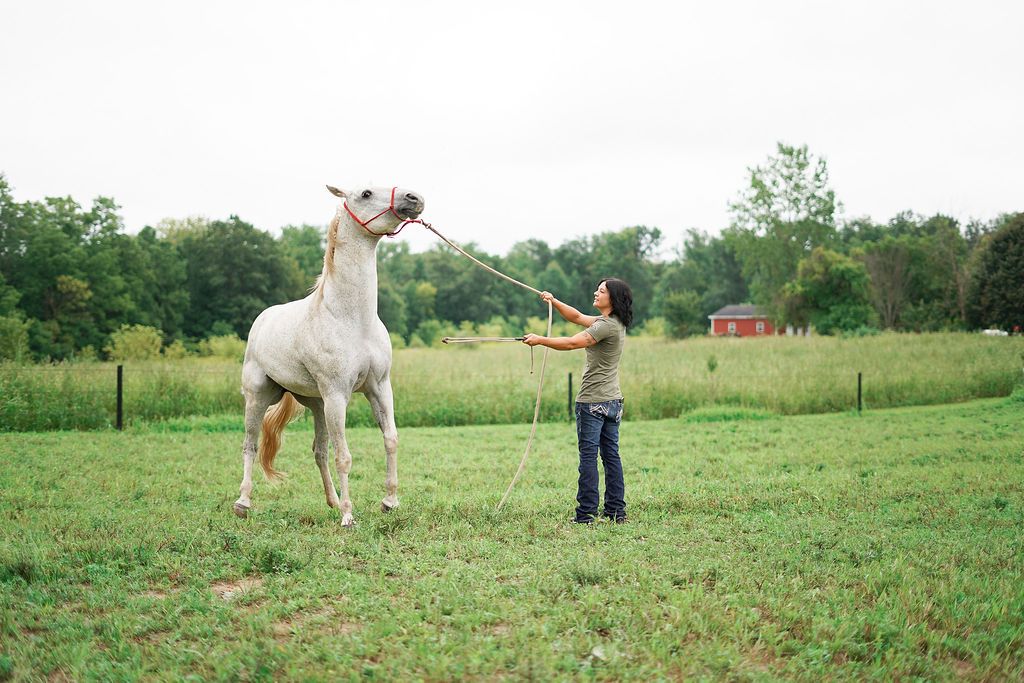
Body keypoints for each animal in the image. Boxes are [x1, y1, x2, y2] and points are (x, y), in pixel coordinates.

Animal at [232, 184, 423, 528]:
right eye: (365, 193)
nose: (414, 198)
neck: (352, 319)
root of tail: (263, 319)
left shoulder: (379, 388)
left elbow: (390, 439)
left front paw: (389, 501)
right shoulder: (337, 395)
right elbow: (343, 456)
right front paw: (349, 517)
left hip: (318, 405)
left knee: (318, 451)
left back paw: (332, 501)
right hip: (260, 397)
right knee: (250, 445)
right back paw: (243, 502)